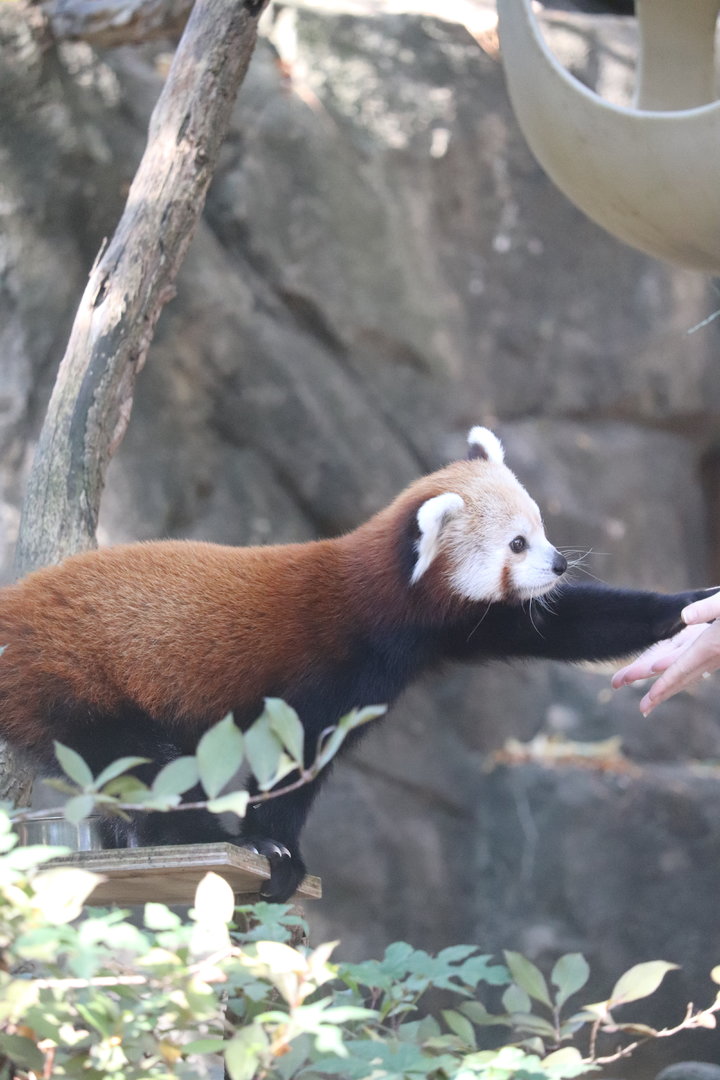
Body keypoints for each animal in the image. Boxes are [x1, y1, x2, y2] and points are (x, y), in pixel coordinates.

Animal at [0, 427, 706, 900]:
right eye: (517, 543)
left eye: (541, 528)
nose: (558, 564)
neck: (386, 606)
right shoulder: (326, 668)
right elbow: (293, 764)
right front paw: (275, 848)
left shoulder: (454, 626)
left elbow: (566, 621)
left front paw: (691, 610)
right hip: (75, 684)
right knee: (141, 765)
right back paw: (201, 838)